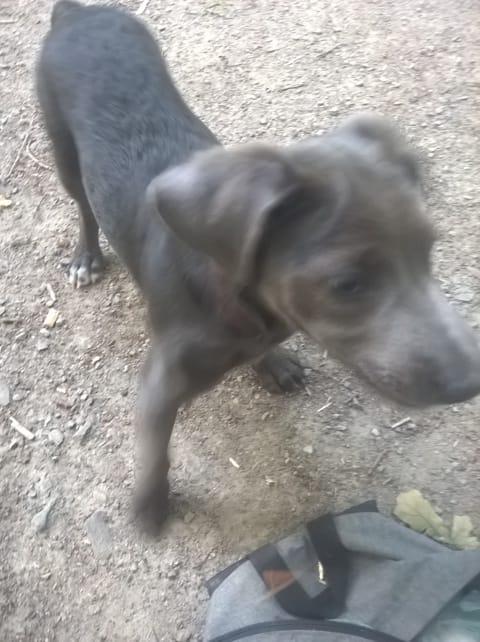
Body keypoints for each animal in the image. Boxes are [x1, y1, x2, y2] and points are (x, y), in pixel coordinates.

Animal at [37, 0, 480, 531]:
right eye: (347, 284)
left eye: (429, 252)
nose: (470, 383)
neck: (238, 304)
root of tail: (78, 12)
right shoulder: (161, 384)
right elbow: (155, 453)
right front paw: (150, 505)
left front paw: (274, 363)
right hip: (63, 149)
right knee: (84, 206)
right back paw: (86, 257)